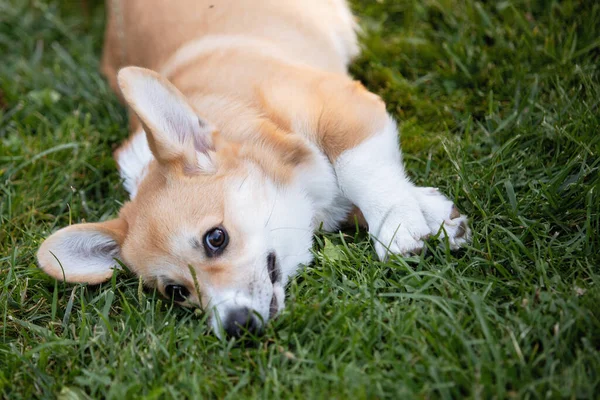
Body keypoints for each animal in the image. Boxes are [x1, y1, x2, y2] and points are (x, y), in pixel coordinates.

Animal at [36, 0, 468, 338]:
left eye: (216, 238)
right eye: (176, 292)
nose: (235, 326)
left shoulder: (339, 106)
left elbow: (356, 167)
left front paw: (399, 225)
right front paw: (433, 215)